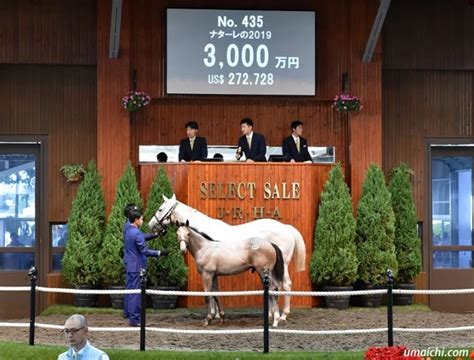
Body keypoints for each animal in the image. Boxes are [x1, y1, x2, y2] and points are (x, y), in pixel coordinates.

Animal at [149, 194, 308, 320]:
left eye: (160, 209)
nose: (151, 225)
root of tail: (286, 228)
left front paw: (213, 315)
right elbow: (215, 291)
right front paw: (216, 314)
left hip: (282, 265)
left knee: (285, 285)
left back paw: (283, 315)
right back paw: (271, 314)